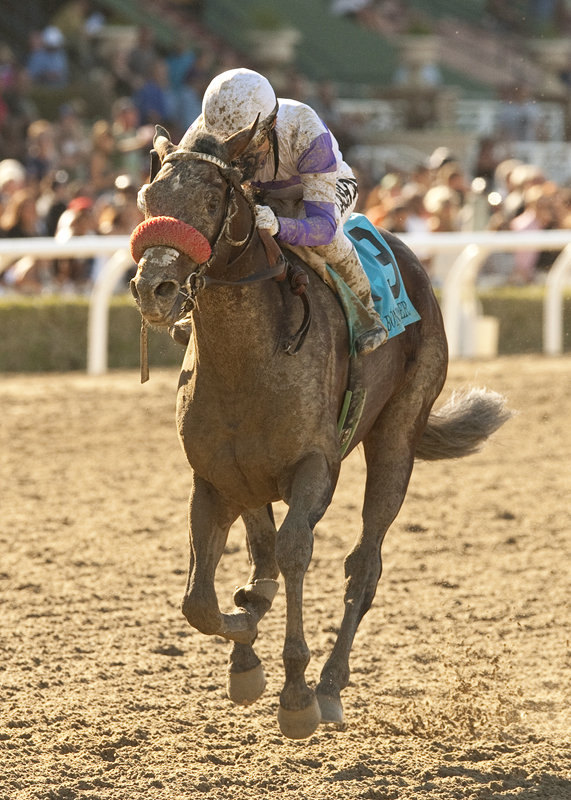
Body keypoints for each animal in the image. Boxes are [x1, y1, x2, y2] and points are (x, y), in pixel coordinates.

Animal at [130, 122, 512, 740]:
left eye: (211, 200)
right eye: (147, 199)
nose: (154, 289)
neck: (246, 361)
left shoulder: (314, 469)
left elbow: (292, 552)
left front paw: (296, 692)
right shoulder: (215, 478)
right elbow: (201, 601)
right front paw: (246, 638)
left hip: (397, 435)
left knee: (364, 565)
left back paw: (329, 686)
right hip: (253, 479)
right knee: (263, 554)